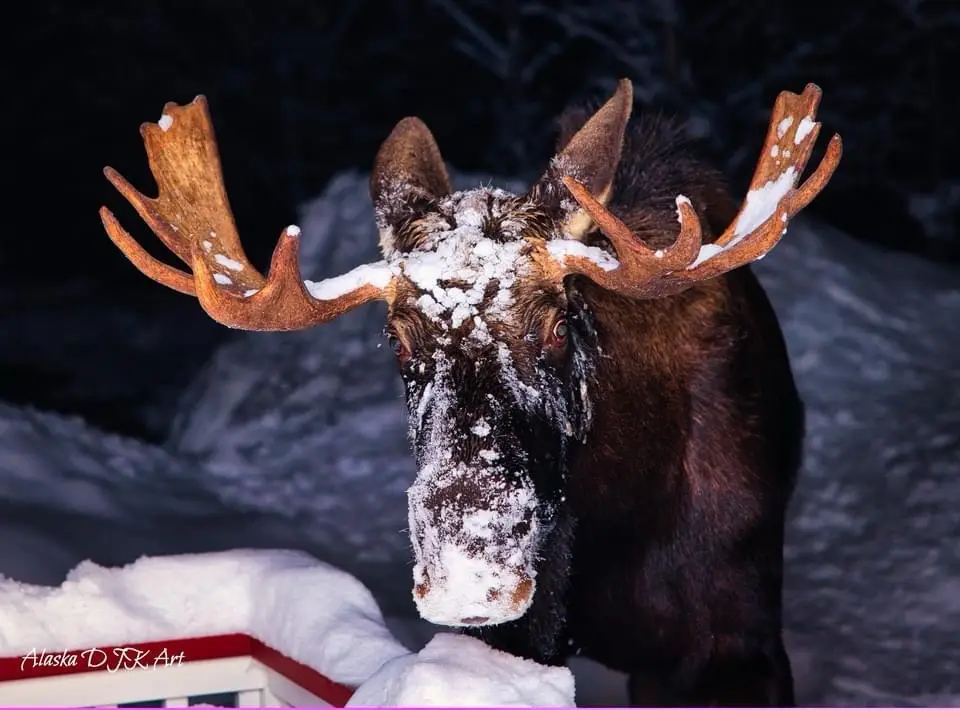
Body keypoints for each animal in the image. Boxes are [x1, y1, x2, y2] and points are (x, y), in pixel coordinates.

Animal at [99, 79, 841, 706]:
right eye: (399, 343)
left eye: (558, 328)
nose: (469, 567)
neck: (622, 517)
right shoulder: (521, 637)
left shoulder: (733, 648)